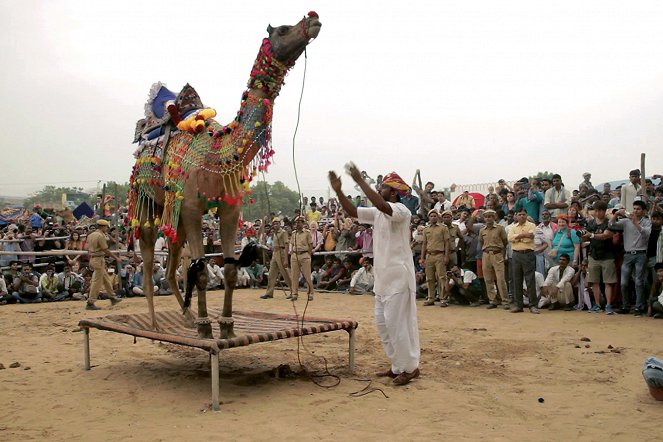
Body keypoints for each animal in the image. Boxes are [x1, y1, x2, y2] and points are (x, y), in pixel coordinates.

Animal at [126, 12, 322, 338]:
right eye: (283, 30)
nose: (313, 18)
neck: (218, 152)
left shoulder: (229, 208)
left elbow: (229, 268)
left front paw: (227, 326)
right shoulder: (193, 208)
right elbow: (201, 270)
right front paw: (207, 328)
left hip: (175, 219)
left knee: (170, 269)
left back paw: (187, 317)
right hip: (146, 205)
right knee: (149, 262)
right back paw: (155, 325)